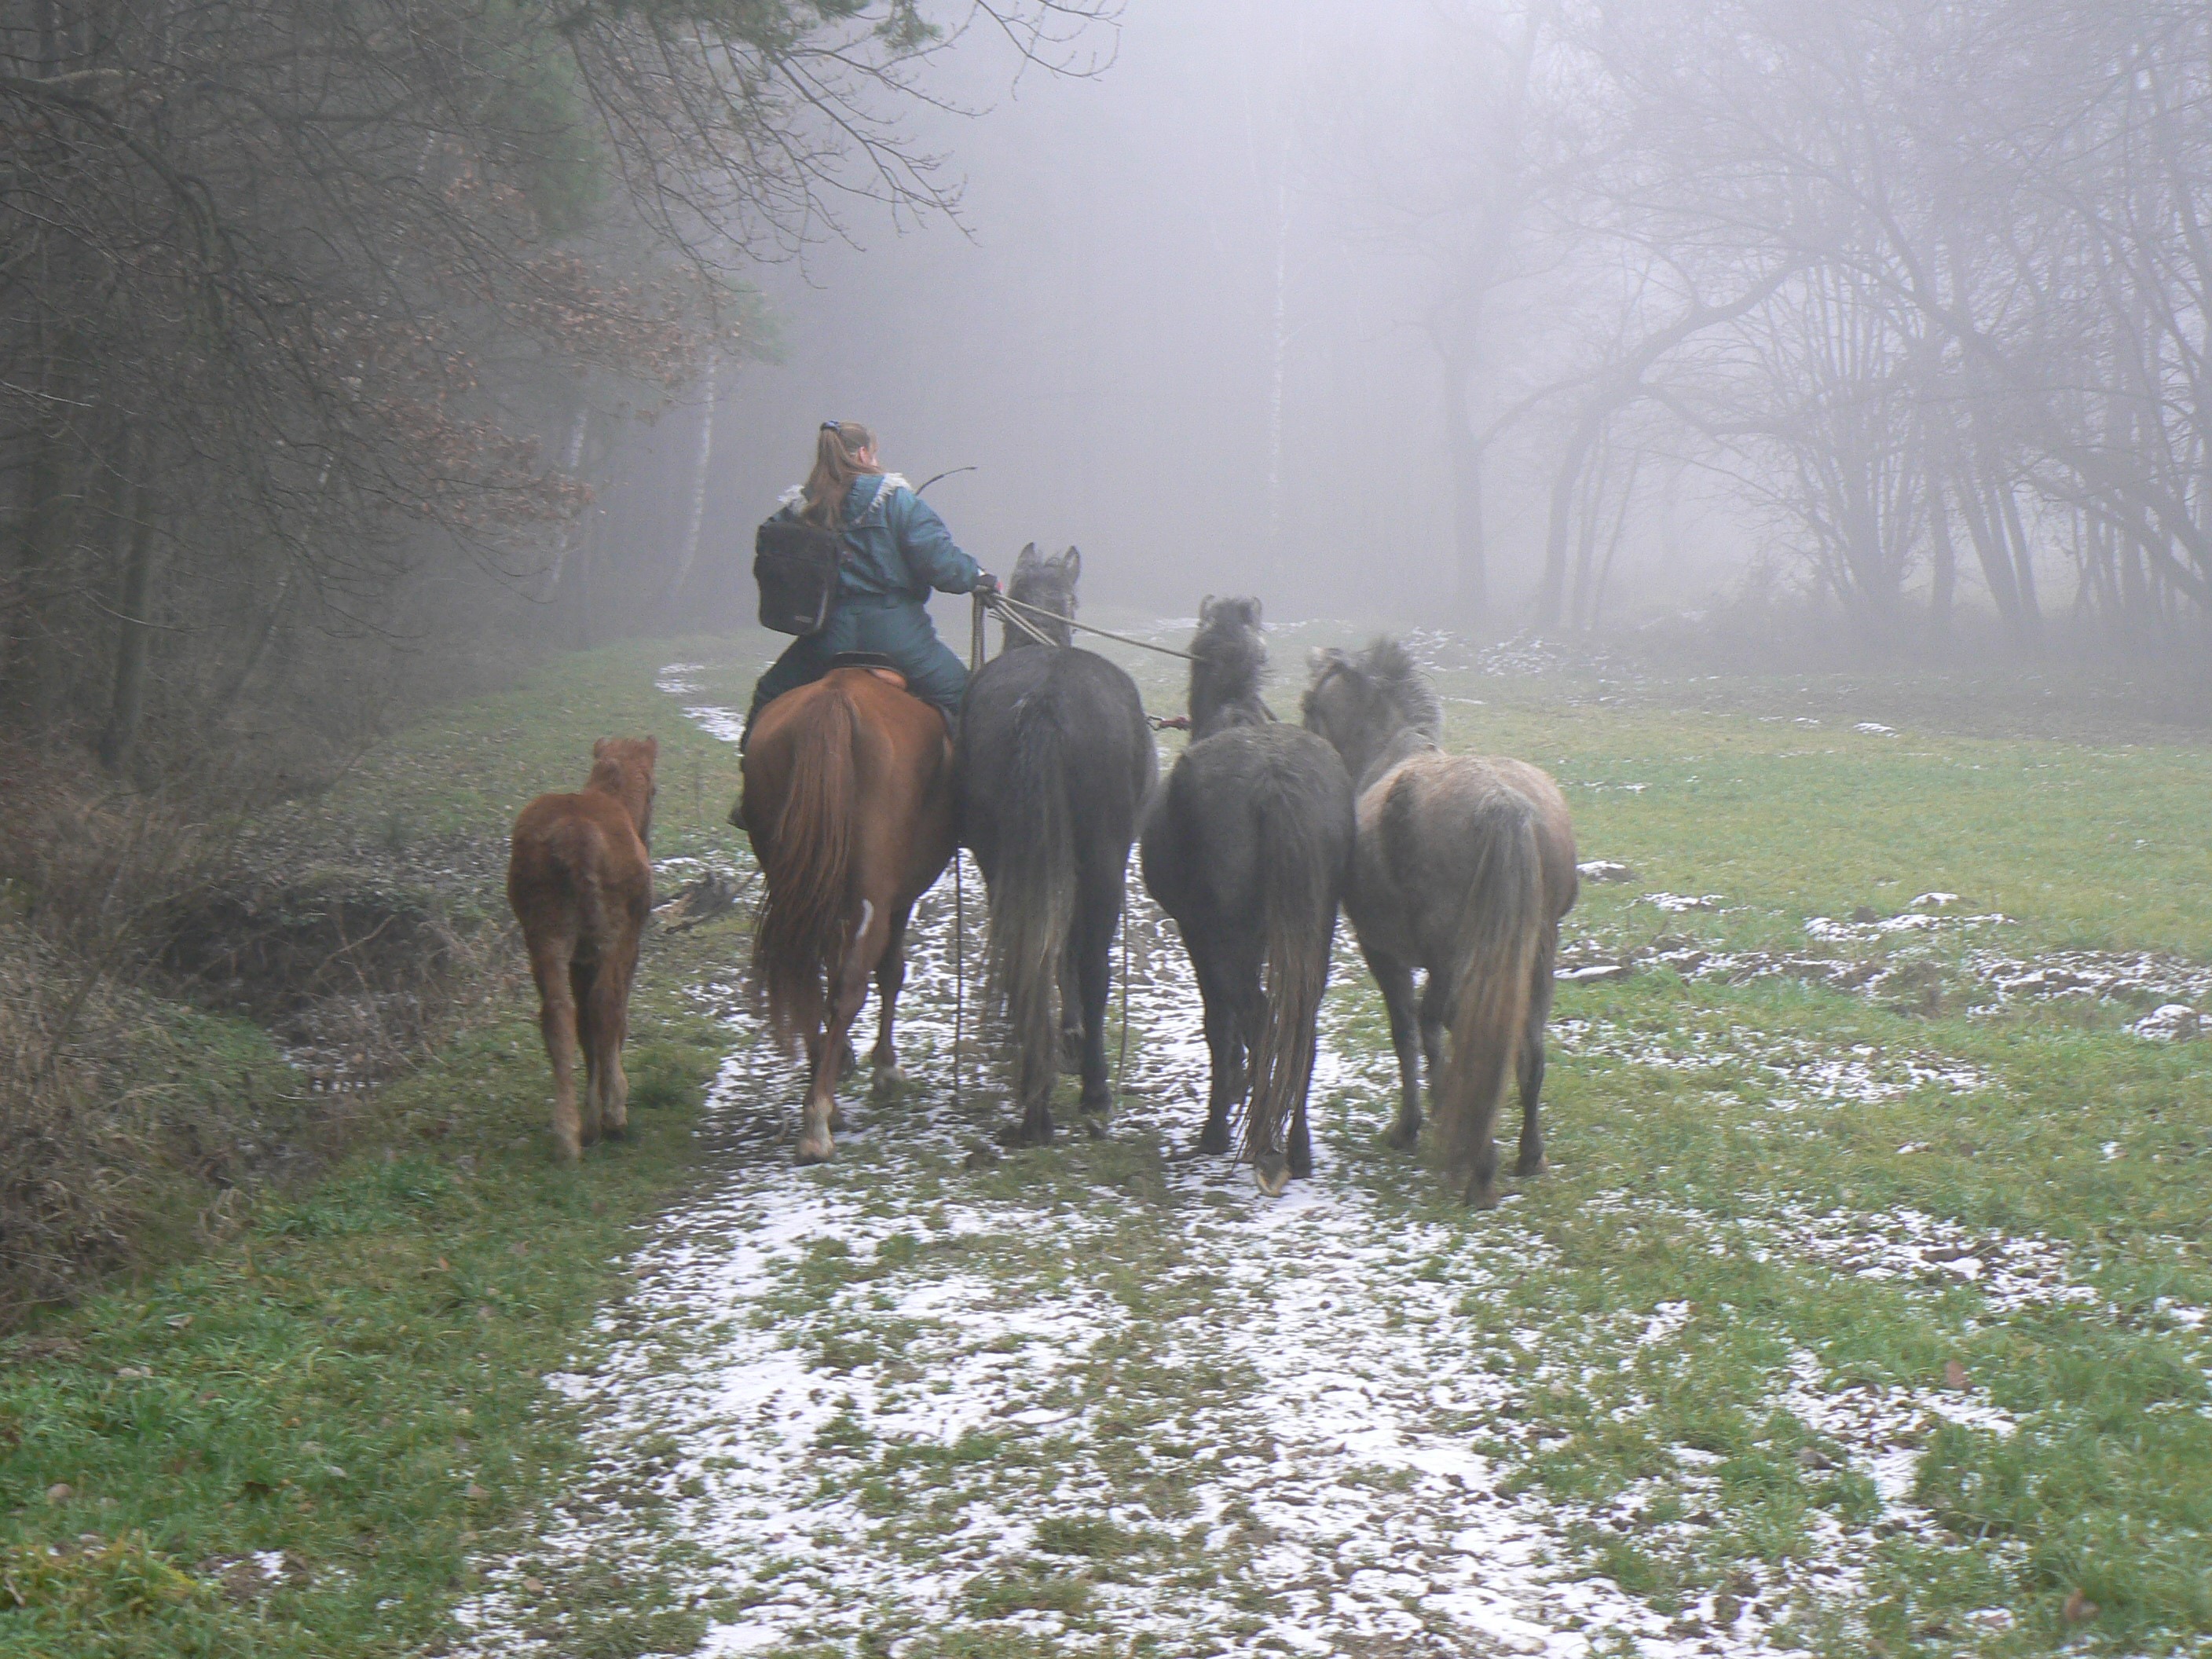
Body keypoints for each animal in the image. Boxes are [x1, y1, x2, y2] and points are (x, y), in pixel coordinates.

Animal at [508, 738, 654, 1167]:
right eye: (654, 790)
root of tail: (578, 836)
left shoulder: (580, 957)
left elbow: (584, 1026)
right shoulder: (627, 945)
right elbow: (615, 1020)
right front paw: (612, 1105)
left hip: (545, 936)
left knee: (558, 1015)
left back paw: (568, 1134)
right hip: (611, 937)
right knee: (605, 1004)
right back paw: (609, 1117)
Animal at [738, 668, 955, 1167]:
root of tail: (834, 700)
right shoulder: (897, 899)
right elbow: (891, 971)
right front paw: (886, 1067)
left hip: (797, 888)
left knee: (806, 980)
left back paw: (823, 1100)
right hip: (869, 895)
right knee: (848, 987)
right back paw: (819, 1121)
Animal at [955, 546, 1150, 1141]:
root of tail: (1043, 698)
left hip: (1003, 862)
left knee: (1027, 955)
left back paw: (1034, 1091)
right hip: (1106, 864)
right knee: (1091, 963)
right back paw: (1094, 1087)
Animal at [1141, 597, 1345, 1194]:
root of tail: (1275, 782)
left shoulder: (1199, 933)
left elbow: (1219, 1022)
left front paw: (1226, 1104)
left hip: (1224, 936)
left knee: (1258, 1016)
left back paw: (1258, 1143)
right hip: (1315, 929)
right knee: (1301, 1025)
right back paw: (1296, 1147)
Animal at [1300, 641, 1584, 1212]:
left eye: (1310, 707)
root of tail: (1504, 805)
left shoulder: (1382, 951)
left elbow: (1406, 1031)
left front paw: (1409, 1125)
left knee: (1455, 1028)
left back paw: (1479, 1160)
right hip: (1536, 951)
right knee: (1527, 1044)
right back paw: (1526, 1155)